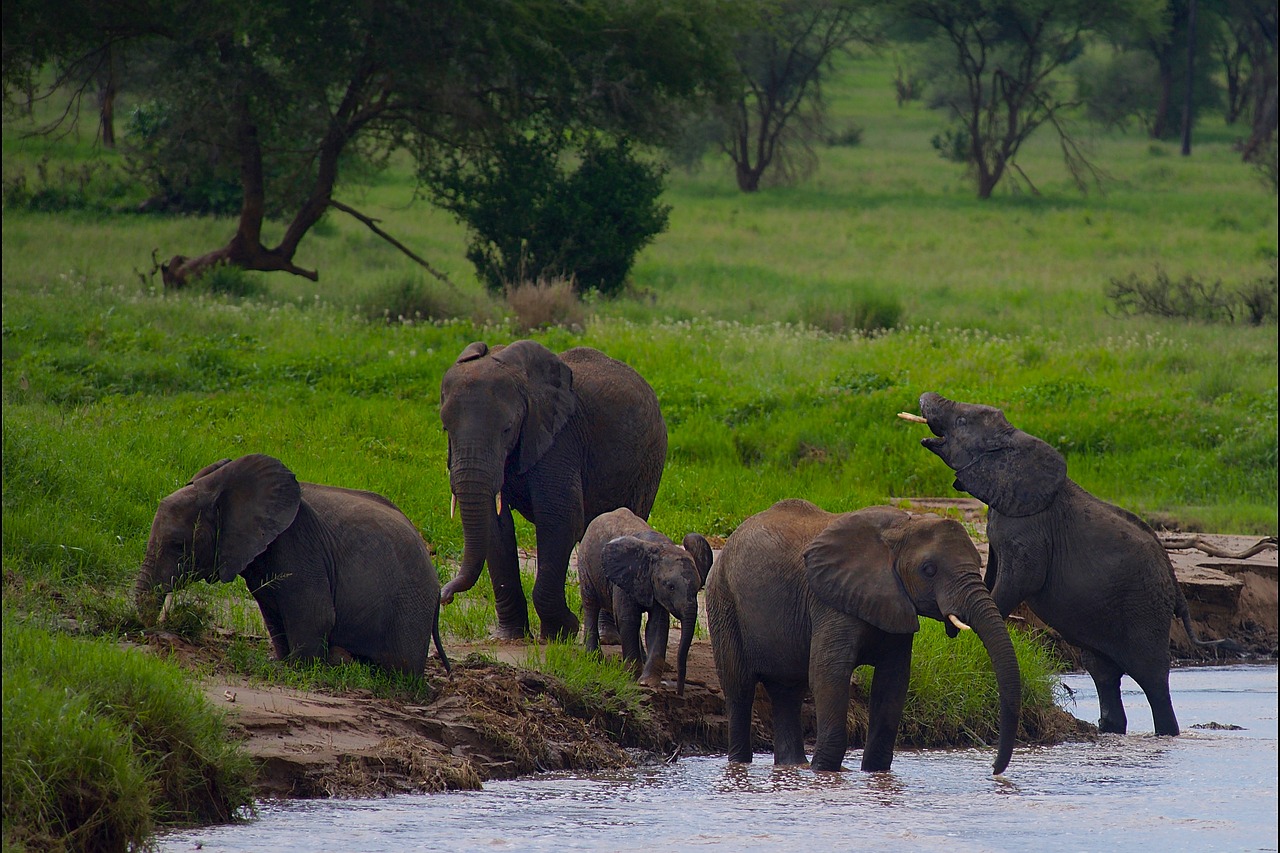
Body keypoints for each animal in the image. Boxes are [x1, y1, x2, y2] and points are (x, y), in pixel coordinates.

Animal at [134, 454, 449, 677]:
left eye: (178, 545)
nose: (149, 631)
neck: (221, 486)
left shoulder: (297, 545)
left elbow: (315, 614)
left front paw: (300, 669)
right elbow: (274, 615)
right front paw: (285, 661)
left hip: (410, 609)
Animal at [439, 339, 667, 641]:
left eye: (507, 429)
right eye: (445, 428)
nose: (445, 597)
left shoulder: (561, 439)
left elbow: (560, 518)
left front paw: (562, 631)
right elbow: (496, 525)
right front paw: (510, 637)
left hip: (649, 460)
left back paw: (608, 638)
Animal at [577, 508, 714, 696]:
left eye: (697, 589)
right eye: (670, 586)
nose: (679, 692)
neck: (658, 549)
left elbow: (657, 624)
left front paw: (647, 683)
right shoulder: (626, 579)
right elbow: (628, 620)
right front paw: (632, 677)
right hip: (585, 564)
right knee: (591, 605)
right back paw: (594, 659)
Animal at [706, 500, 1020, 775]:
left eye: (979, 562)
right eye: (928, 570)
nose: (994, 770)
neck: (902, 529)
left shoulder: (896, 604)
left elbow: (892, 682)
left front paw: (874, 772)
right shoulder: (829, 602)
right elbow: (828, 675)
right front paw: (825, 771)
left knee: (787, 692)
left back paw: (794, 767)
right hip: (722, 599)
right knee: (739, 688)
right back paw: (741, 763)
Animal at [912, 391, 1231, 736]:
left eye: (961, 421)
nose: (926, 397)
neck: (1013, 441)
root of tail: (1175, 582)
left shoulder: (1030, 529)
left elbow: (1019, 580)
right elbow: (991, 576)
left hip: (1146, 610)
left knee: (1153, 680)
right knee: (1102, 672)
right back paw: (1109, 728)